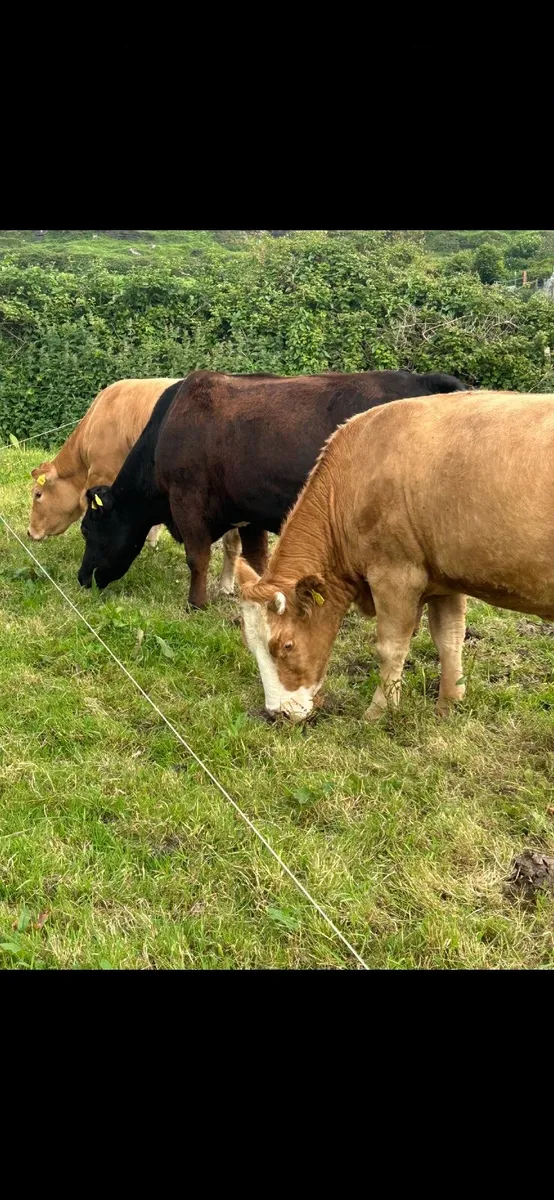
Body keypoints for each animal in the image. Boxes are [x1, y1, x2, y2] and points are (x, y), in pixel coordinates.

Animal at [27, 377, 245, 596]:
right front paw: (152, 542)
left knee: (231, 542)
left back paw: (226, 585)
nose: (30, 532)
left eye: (38, 494)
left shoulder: (104, 476)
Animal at [77, 369, 467, 605]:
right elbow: (257, 560)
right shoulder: (247, 512)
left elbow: (197, 557)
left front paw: (196, 604)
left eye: (87, 528)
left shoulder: (187, 501)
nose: (82, 577)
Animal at [237, 390, 554, 723]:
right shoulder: (445, 579)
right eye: (250, 644)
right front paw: (448, 706)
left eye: (286, 644)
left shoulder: (395, 574)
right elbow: (450, 638)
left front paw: (377, 713)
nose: (277, 713)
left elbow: (390, 647)